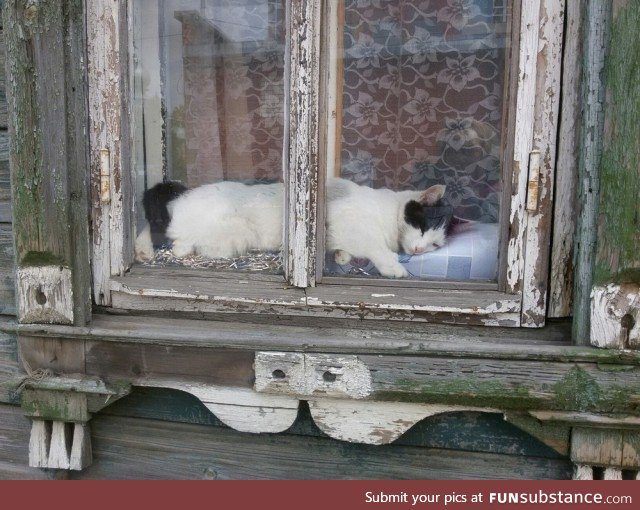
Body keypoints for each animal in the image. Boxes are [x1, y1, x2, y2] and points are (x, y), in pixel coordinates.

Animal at [133, 177, 448, 276]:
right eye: (422, 226)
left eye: (435, 244)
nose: (419, 250)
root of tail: (182, 196)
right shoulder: (351, 223)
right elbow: (375, 247)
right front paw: (394, 267)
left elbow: (346, 250)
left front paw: (341, 256)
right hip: (231, 234)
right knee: (178, 245)